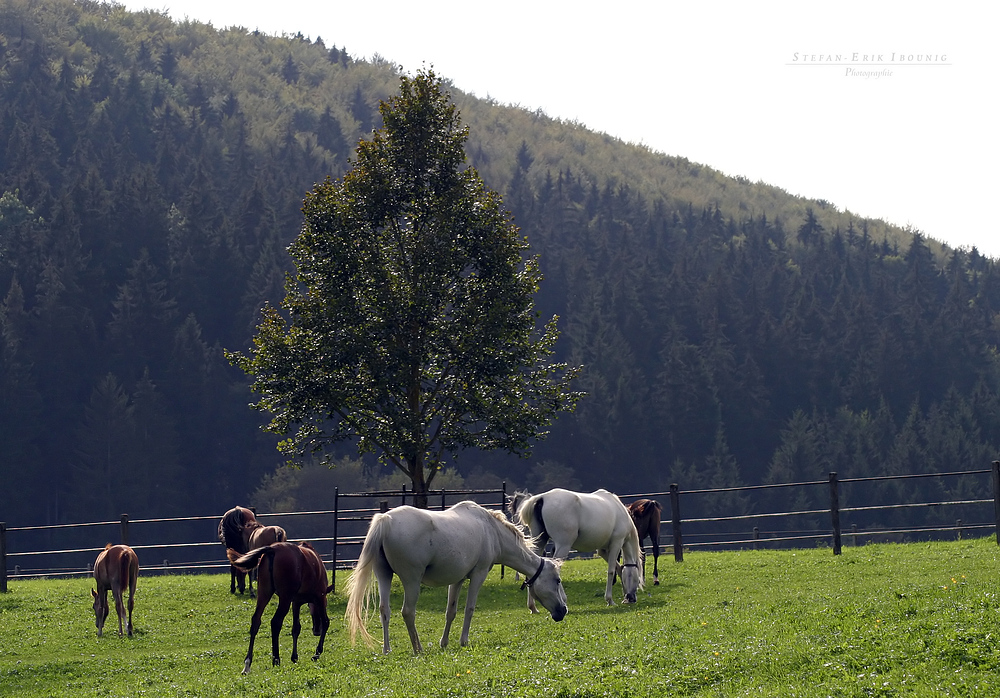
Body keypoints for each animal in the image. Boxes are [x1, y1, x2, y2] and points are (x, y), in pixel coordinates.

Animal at [229, 540, 334, 676]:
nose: (316, 631)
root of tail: (272, 549)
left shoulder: (296, 603)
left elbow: (296, 628)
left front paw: (294, 657)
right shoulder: (320, 598)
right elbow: (326, 622)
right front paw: (317, 653)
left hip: (264, 594)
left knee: (256, 621)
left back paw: (248, 663)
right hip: (285, 598)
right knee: (276, 622)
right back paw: (276, 659)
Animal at [344, 500, 568, 652]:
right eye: (557, 581)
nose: (563, 611)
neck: (492, 531)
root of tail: (386, 520)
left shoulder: (457, 580)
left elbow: (450, 612)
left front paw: (444, 643)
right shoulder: (478, 575)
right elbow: (469, 609)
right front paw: (463, 641)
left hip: (384, 575)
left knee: (385, 610)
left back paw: (387, 649)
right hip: (411, 580)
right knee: (408, 612)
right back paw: (418, 649)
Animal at [512, 490, 644, 604]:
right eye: (637, 579)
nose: (631, 598)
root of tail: (542, 498)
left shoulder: (602, 550)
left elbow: (619, 568)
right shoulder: (616, 543)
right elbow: (611, 571)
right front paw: (609, 600)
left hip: (539, 542)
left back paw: (532, 606)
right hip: (563, 545)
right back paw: (563, 599)